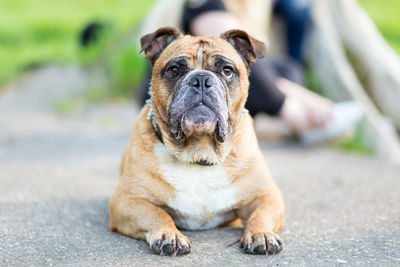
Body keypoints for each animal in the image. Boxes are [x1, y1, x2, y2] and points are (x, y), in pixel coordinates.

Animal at [109, 27, 284, 258]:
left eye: (227, 71)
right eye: (174, 70)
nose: (201, 79)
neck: (199, 152)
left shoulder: (267, 196)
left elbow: (261, 214)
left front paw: (261, 234)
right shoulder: (126, 200)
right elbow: (158, 213)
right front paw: (169, 234)